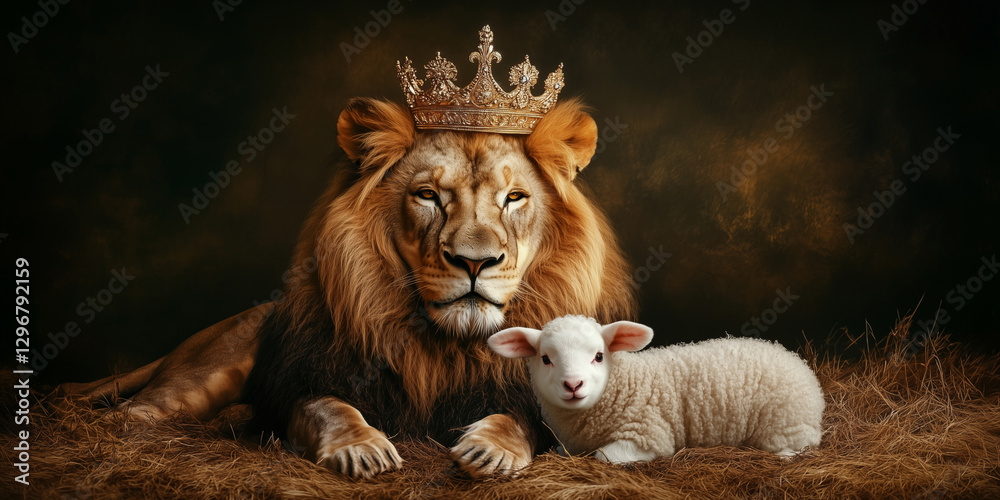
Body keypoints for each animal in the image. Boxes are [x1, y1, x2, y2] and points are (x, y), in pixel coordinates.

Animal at [59, 96, 637, 478]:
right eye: (428, 195)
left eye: (514, 198)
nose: (475, 262)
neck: (446, 344)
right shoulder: (308, 379)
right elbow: (330, 408)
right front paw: (361, 447)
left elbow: (517, 420)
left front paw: (489, 448)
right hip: (194, 383)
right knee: (131, 417)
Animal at [488, 315, 825, 463]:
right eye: (545, 359)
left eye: (599, 356)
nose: (573, 384)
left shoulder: (649, 434)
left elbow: (603, 457)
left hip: (786, 425)